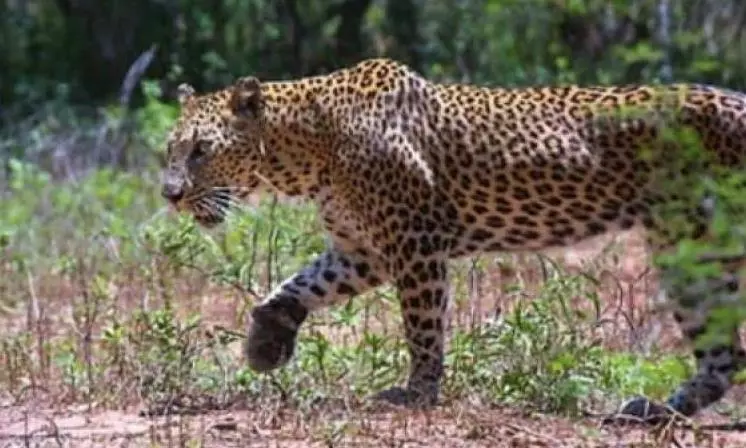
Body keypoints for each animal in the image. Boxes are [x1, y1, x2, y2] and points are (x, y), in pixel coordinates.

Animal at [161, 57, 746, 423]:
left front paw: (417, 393)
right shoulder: (362, 250)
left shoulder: (413, 242)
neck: (306, 148)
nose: (169, 194)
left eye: (201, 150)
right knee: (723, 354)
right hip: (686, 248)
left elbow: (422, 327)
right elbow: (299, 284)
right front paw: (266, 341)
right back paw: (654, 412)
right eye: (171, 148)